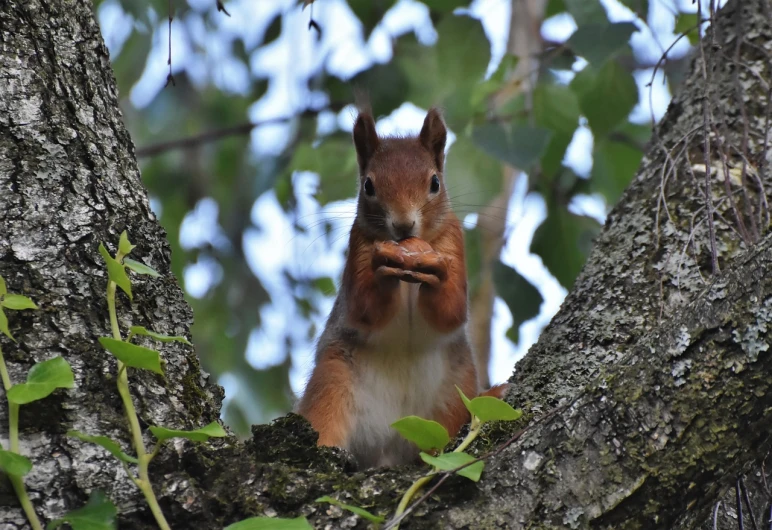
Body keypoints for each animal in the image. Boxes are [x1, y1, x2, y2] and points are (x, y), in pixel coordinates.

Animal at [296, 104, 506, 466]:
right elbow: (363, 309)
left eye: (435, 183)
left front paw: (437, 274)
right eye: (368, 185)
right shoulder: (359, 245)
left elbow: (451, 311)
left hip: (455, 392)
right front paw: (383, 271)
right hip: (332, 382)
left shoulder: (453, 239)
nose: (403, 225)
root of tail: (389, 449)